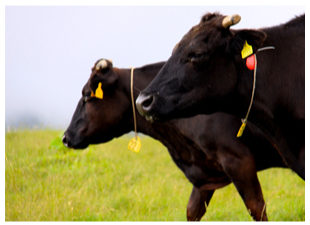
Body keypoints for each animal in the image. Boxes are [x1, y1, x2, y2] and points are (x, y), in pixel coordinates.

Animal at [61, 58, 294, 221]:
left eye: (87, 95)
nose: (65, 137)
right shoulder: (204, 171)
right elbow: (192, 211)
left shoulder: (237, 158)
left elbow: (257, 208)